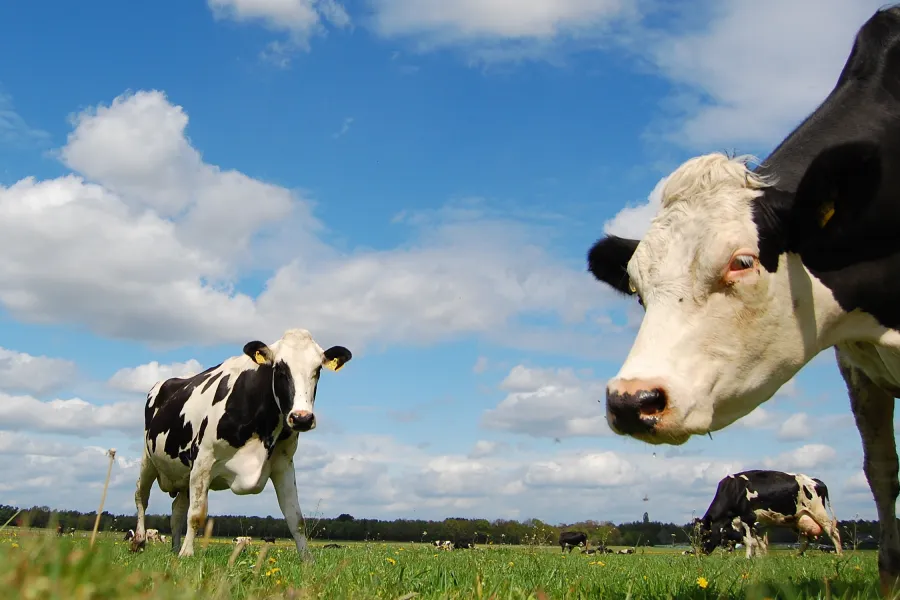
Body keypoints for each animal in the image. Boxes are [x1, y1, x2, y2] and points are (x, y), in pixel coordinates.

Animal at [129, 328, 353, 559]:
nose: (302, 418)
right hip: (148, 459)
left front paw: (307, 560)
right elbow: (197, 514)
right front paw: (188, 554)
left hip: (182, 475)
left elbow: (296, 519)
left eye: (318, 369)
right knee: (142, 497)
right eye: (279, 369)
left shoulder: (283, 464)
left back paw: (175, 550)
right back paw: (140, 542)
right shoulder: (203, 459)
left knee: (177, 511)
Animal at [695, 471, 842, 559]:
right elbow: (756, 541)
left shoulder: (748, 518)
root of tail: (816, 481)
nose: (699, 553)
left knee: (833, 532)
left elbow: (749, 541)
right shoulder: (749, 524)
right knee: (805, 540)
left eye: (705, 534)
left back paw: (839, 554)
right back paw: (796, 556)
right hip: (798, 519)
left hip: (818, 512)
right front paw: (759, 557)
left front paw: (748, 558)